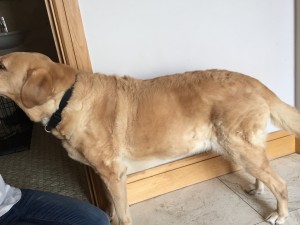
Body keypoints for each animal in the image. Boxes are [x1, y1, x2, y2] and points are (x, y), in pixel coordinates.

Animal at [0, 51, 300, 224]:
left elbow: (123, 214)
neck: (65, 99)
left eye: (2, 66)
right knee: (265, 173)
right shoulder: (106, 176)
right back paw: (258, 188)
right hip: (244, 147)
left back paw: (280, 213)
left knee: (280, 184)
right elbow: (111, 206)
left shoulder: (114, 175)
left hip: (238, 146)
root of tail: (255, 82)